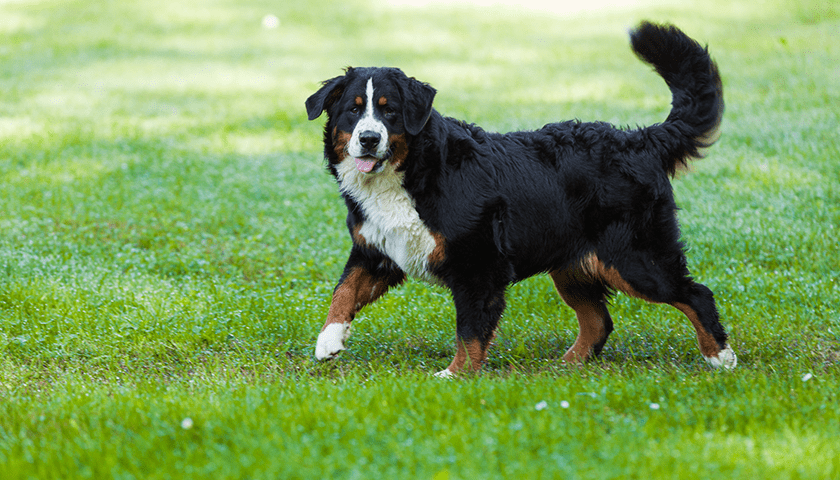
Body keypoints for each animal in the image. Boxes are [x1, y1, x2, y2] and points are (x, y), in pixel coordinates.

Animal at [306, 21, 736, 376]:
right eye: (352, 111)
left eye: (389, 111)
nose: (368, 138)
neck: (409, 173)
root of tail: (641, 140)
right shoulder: (378, 249)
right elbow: (343, 291)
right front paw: (329, 339)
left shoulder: (477, 265)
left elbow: (470, 329)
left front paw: (456, 375)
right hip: (573, 265)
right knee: (598, 321)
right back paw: (568, 364)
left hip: (633, 258)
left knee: (695, 294)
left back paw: (720, 356)